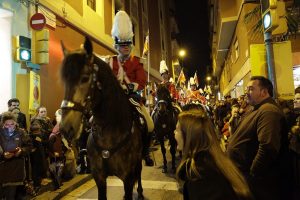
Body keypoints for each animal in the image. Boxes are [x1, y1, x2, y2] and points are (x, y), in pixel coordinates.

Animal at [59, 36, 144, 199]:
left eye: (85, 78)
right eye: (63, 80)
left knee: (140, 170)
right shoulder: (99, 178)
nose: (66, 127)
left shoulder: (128, 179)